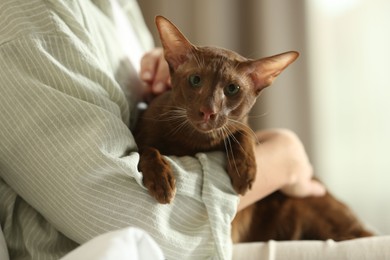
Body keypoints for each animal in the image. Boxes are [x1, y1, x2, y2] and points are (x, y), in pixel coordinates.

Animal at [135, 15, 374, 242]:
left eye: (232, 89)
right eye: (195, 80)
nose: (208, 111)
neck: (194, 142)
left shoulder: (241, 125)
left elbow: (243, 132)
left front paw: (244, 172)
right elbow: (146, 150)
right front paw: (161, 180)